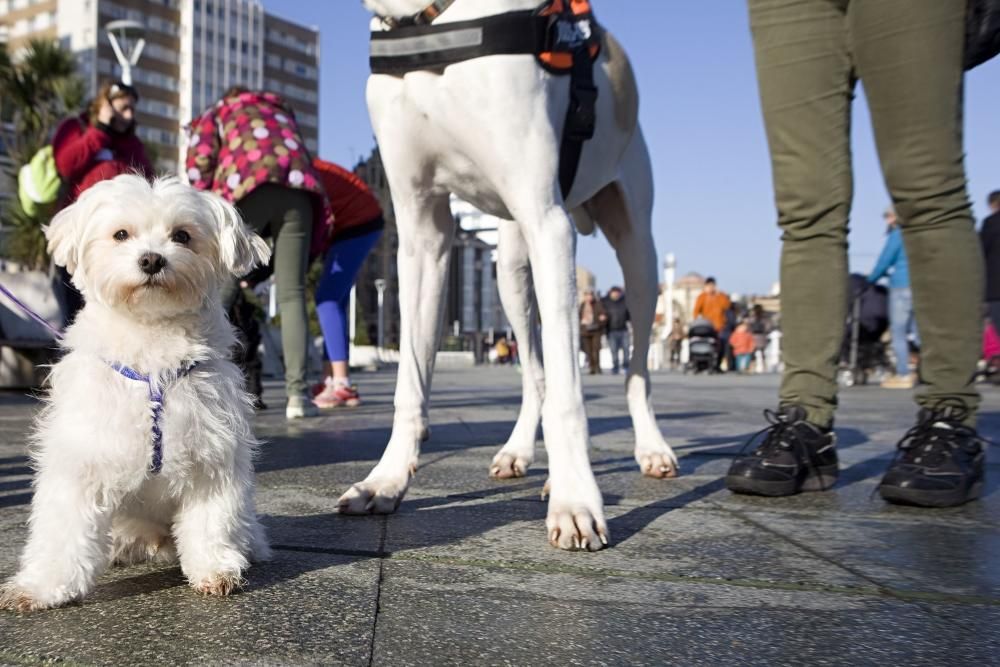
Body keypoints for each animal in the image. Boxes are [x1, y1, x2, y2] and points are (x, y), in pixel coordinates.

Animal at [0, 175, 274, 612]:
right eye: (120, 234)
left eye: (182, 236)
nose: (151, 260)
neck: (150, 345)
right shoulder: (81, 456)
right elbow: (63, 530)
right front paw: (42, 586)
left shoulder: (211, 455)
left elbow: (211, 521)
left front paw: (214, 569)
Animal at [338, 1, 680, 552]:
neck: (430, 21)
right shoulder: (421, 232)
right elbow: (410, 379)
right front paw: (385, 480)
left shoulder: (549, 221)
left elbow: (570, 394)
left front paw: (576, 500)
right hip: (511, 268)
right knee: (536, 374)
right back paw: (522, 454)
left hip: (636, 255)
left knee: (634, 371)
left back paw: (648, 449)